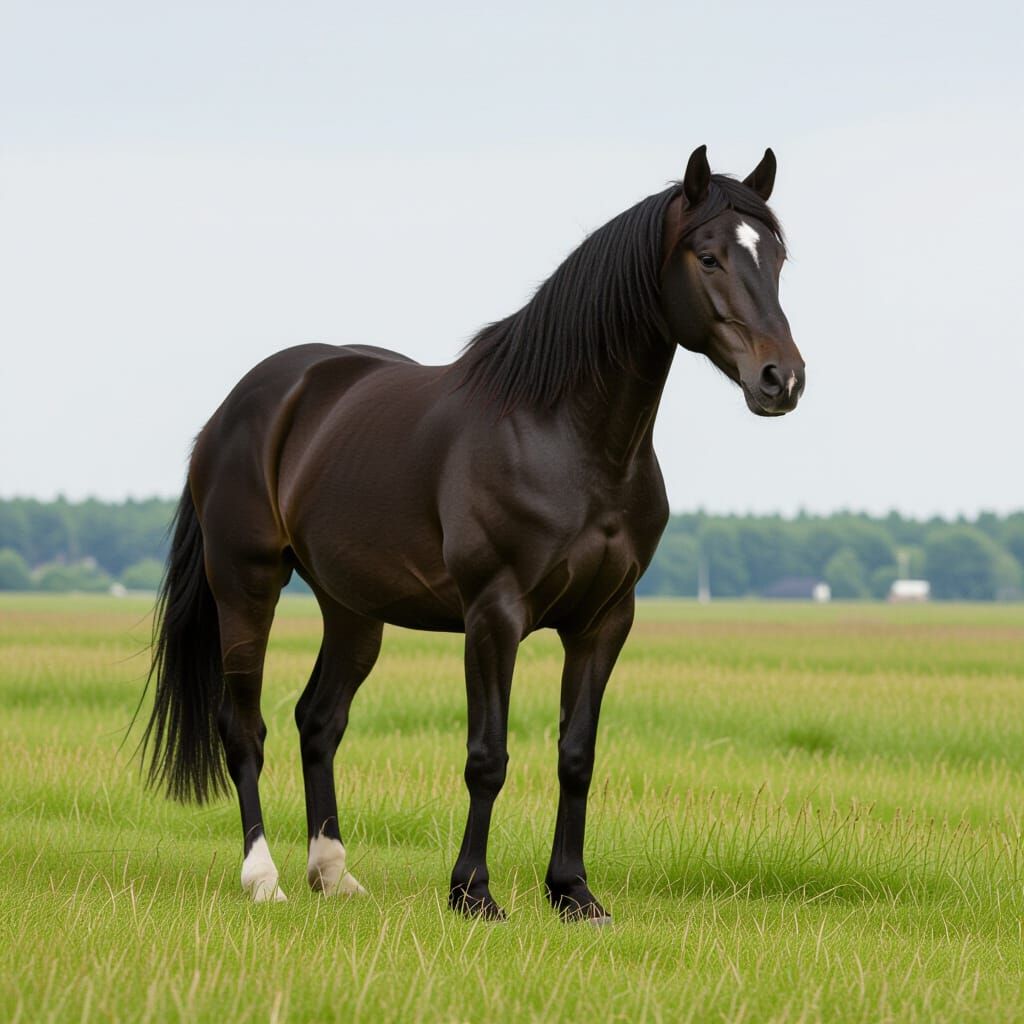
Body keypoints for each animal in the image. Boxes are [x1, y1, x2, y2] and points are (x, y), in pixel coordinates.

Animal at [141, 145, 805, 923]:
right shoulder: (494, 614)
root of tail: (239, 407)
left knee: (319, 721)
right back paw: (263, 878)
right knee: (244, 727)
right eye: (707, 257)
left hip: (353, 608)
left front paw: (573, 893)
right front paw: (473, 892)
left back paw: (333, 874)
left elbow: (577, 755)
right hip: (246, 584)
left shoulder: (605, 620)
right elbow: (487, 757)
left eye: (778, 257)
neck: (566, 437)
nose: (781, 380)